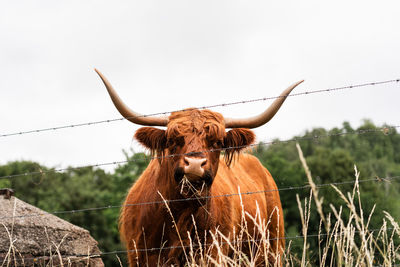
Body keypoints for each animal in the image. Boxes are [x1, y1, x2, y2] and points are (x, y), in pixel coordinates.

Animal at [96, 69, 304, 267]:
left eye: (217, 142)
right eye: (173, 140)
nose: (195, 164)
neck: (180, 213)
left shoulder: (213, 251)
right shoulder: (141, 254)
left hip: (272, 249)